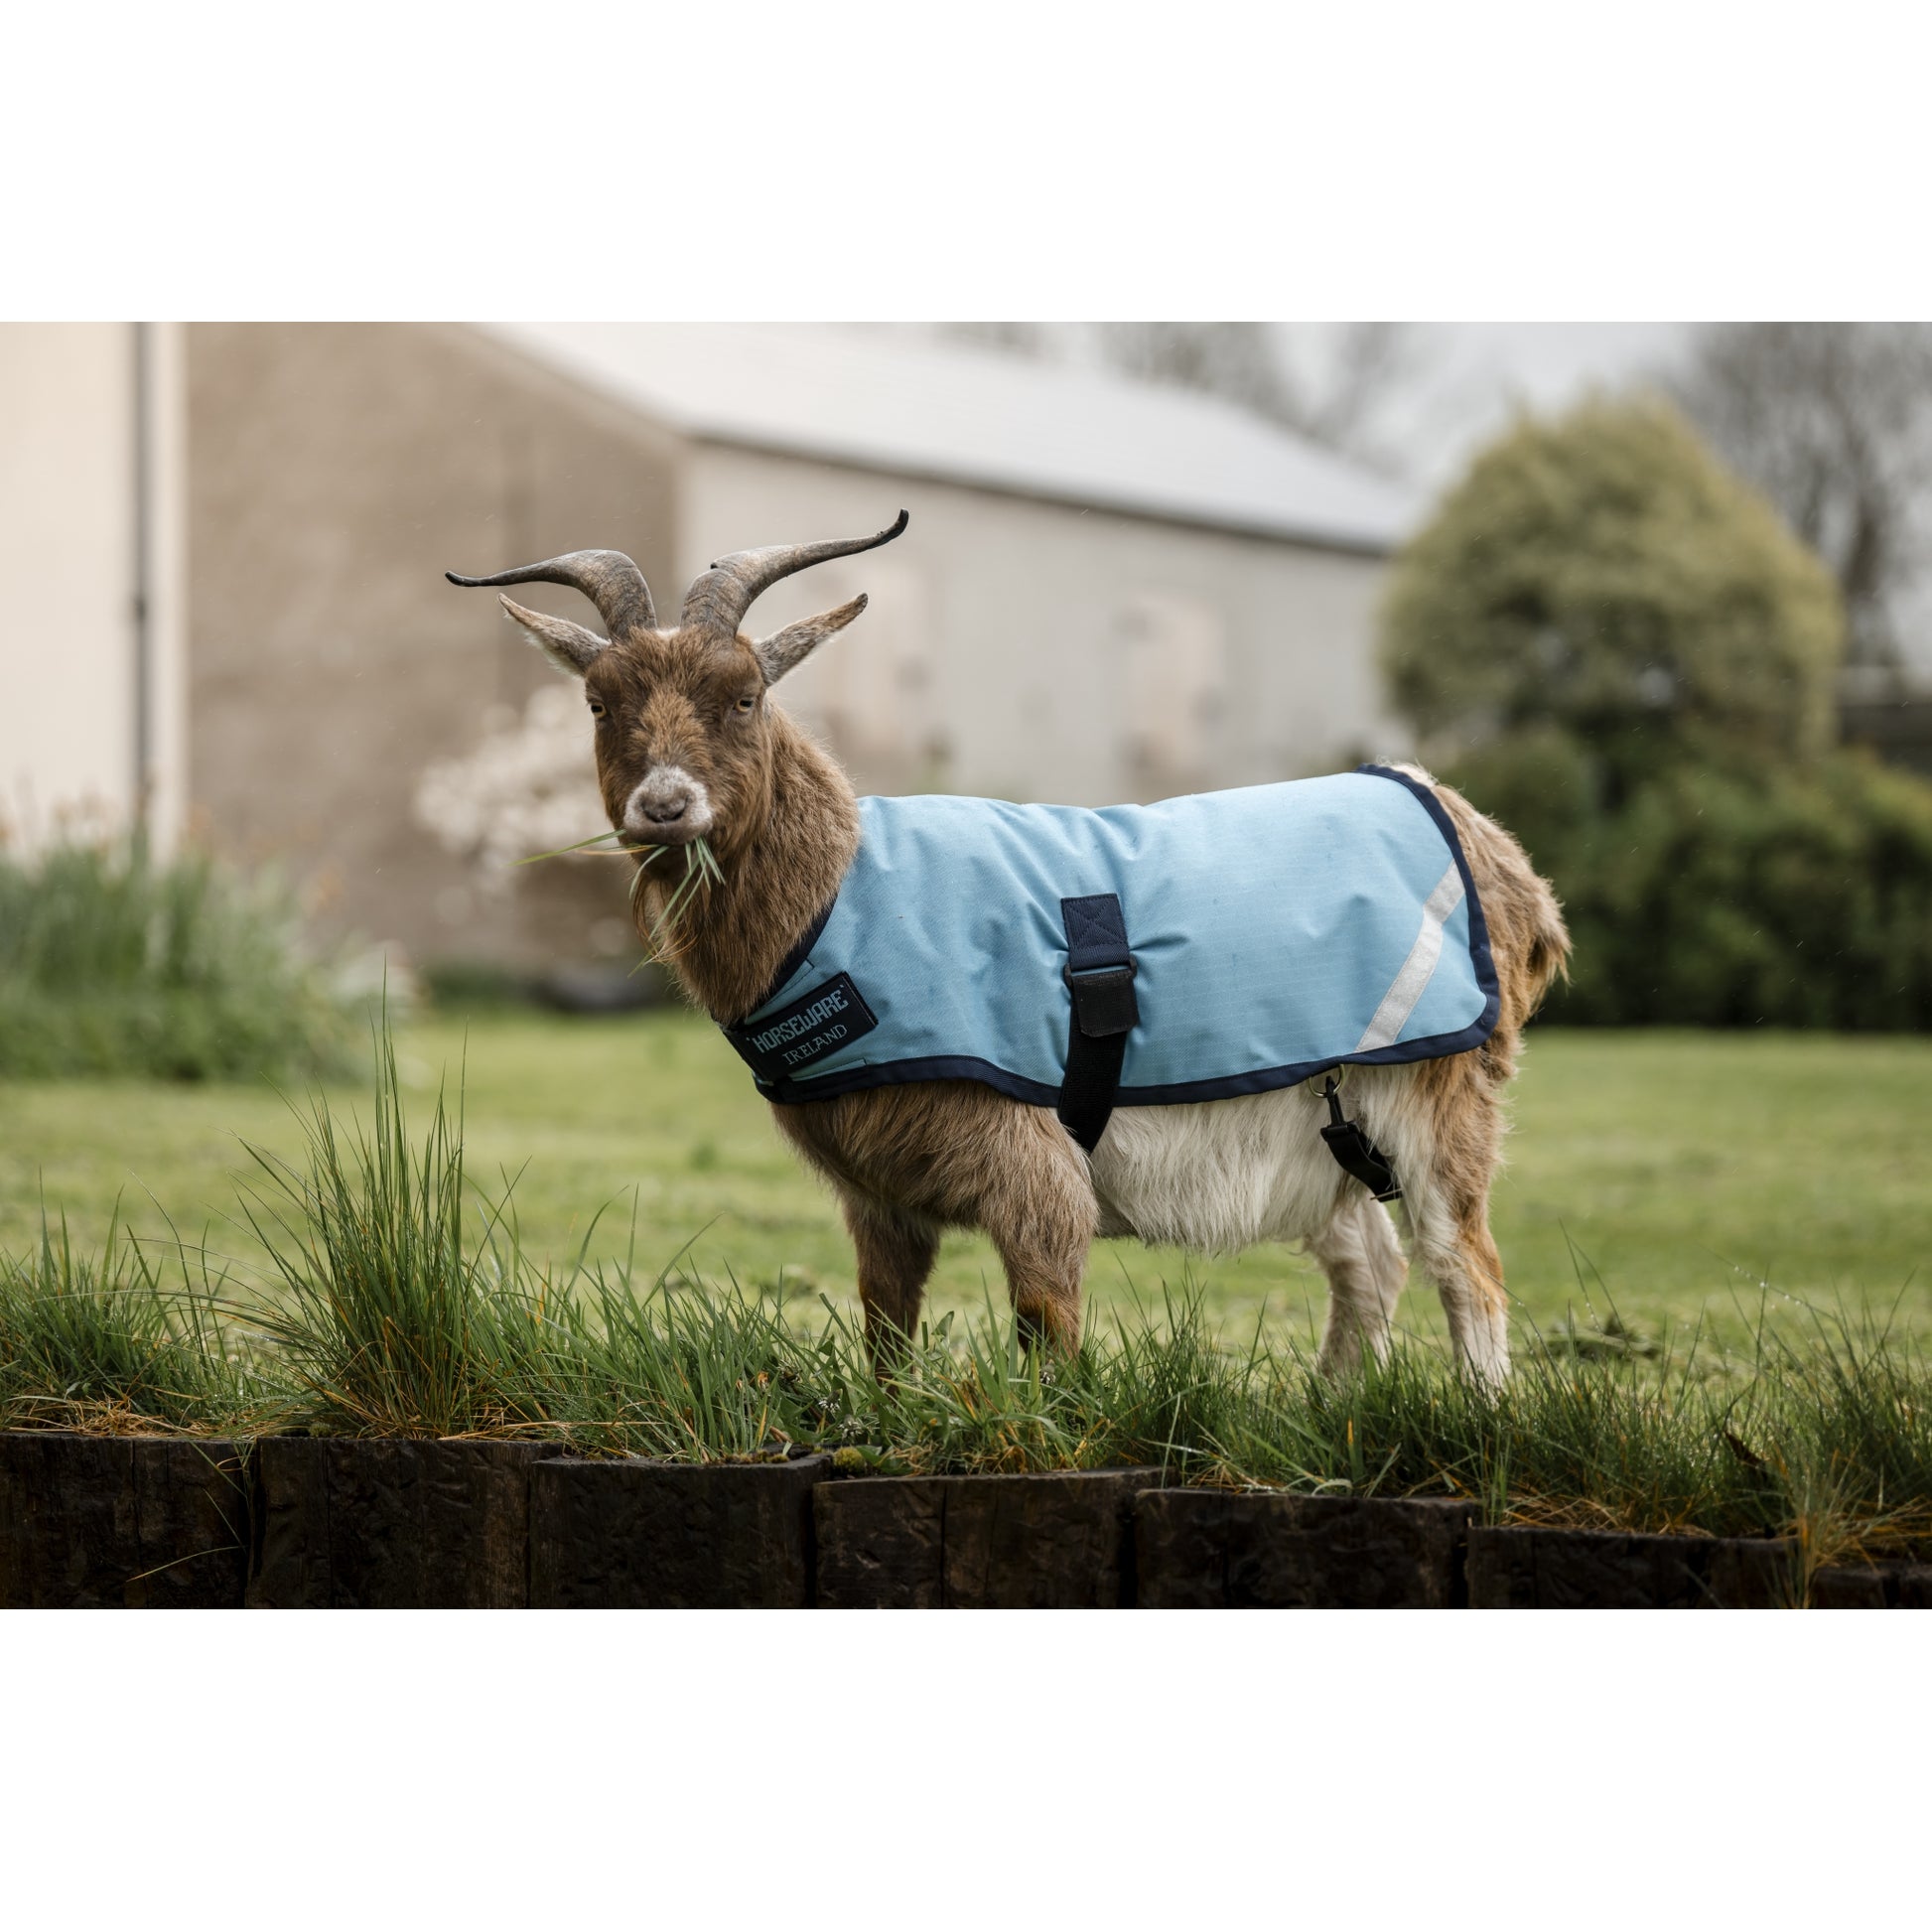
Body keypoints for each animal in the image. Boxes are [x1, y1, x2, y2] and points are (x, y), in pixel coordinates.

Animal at [448, 514, 1569, 1383]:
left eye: (745, 695)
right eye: (600, 702)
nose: (665, 804)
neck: (843, 901)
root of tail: (1499, 857)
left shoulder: (1025, 1161)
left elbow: (1047, 1327)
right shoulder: (879, 1195)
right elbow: (886, 1333)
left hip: (1439, 1092)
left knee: (1462, 1262)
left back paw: (1474, 1426)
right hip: (1321, 1126)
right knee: (1367, 1263)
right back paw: (1325, 1417)